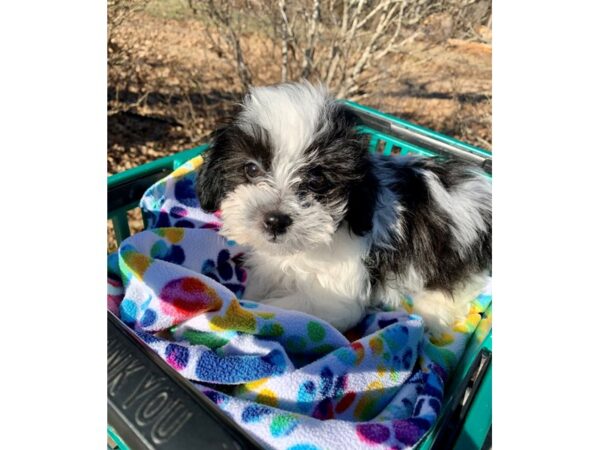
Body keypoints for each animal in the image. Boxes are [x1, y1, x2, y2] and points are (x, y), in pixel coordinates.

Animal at [197, 81, 492, 334]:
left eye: (317, 180)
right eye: (251, 169)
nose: (275, 220)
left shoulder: (337, 297)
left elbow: (287, 308)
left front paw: (250, 310)